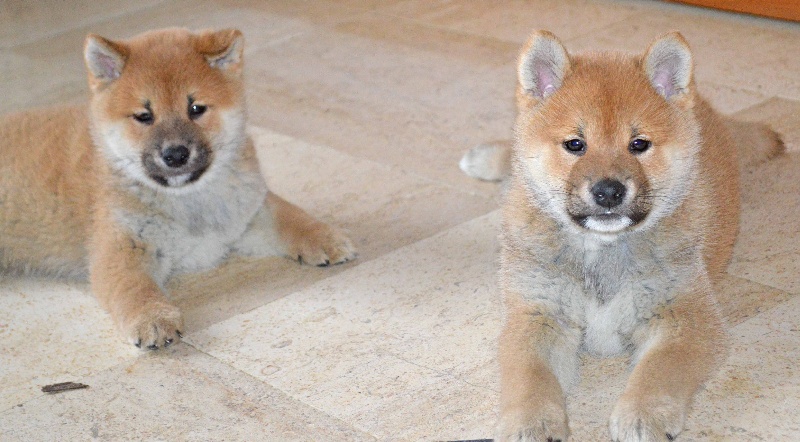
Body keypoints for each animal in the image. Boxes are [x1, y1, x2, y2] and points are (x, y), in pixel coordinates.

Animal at [0, 28, 356, 352]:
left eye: (195, 108)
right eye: (144, 115)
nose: (175, 154)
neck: (187, 202)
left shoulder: (247, 213)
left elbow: (290, 215)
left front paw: (325, 237)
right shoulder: (121, 248)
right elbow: (136, 289)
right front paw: (153, 318)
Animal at [460, 32, 784, 442]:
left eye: (638, 144)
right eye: (575, 145)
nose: (609, 191)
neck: (603, 249)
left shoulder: (683, 316)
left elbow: (659, 370)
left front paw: (642, 414)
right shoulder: (539, 315)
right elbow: (530, 378)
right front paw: (530, 422)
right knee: (515, 156)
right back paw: (486, 157)